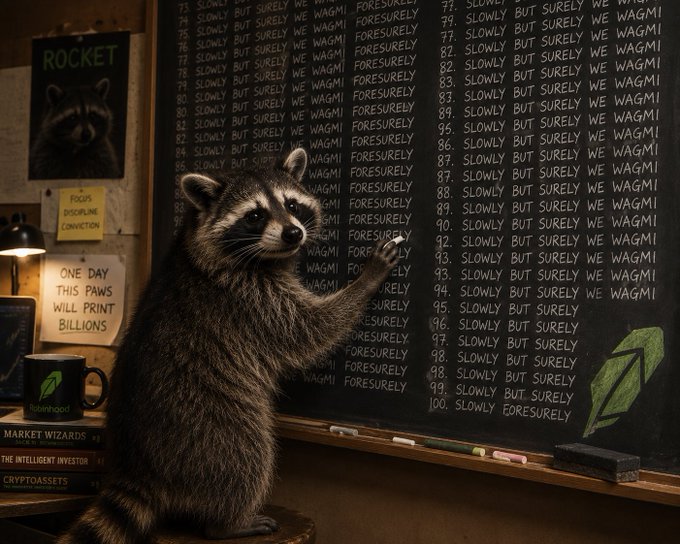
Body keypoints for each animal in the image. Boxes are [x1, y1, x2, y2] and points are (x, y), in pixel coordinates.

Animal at [58, 148, 399, 543]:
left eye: (292, 205)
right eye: (255, 215)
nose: (293, 233)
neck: (192, 242)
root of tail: (140, 468)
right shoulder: (248, 298)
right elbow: (310, 330)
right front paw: (366, 281)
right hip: (210, 425)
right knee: (246, 454)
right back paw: (227, 522)